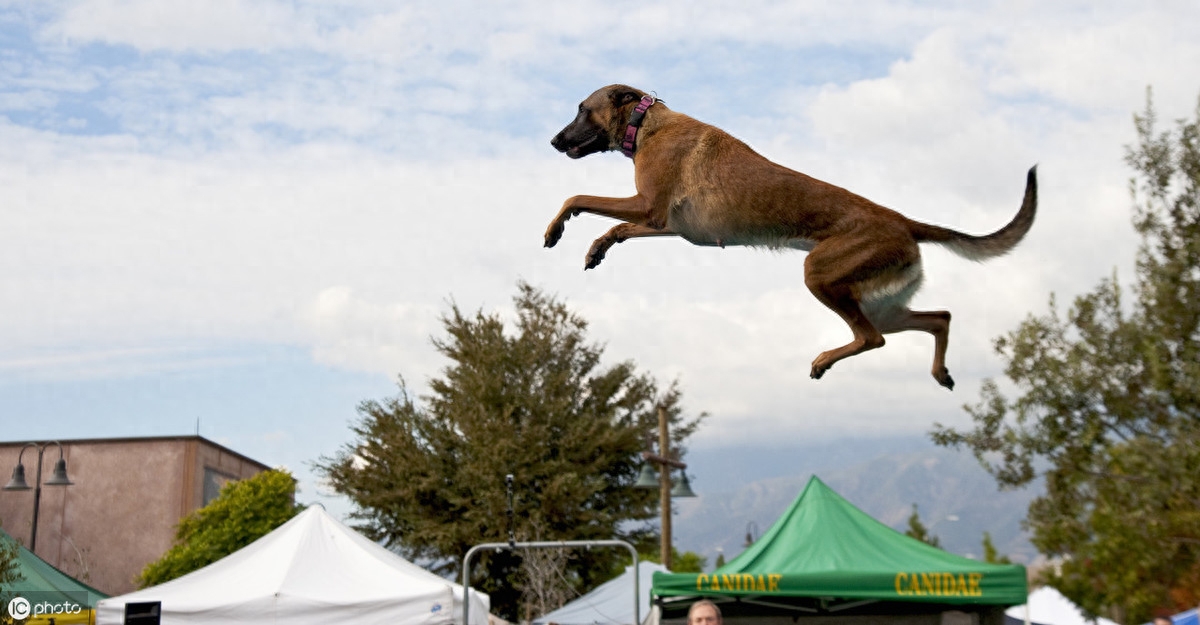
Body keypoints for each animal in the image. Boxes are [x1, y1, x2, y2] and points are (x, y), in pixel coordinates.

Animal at [549, 85, 1036, 386]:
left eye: (581, 109)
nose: (554, 141)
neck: (646, 123)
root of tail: (902, 220)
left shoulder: (647, 208)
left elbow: (579, 198)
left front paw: (559, 231)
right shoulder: (664, 226)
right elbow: (615, 226)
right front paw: (594, 248)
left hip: (821, 276)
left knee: (871, 339)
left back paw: (823, 361)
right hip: (881, 302)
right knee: (939, 318)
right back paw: (940, 372)